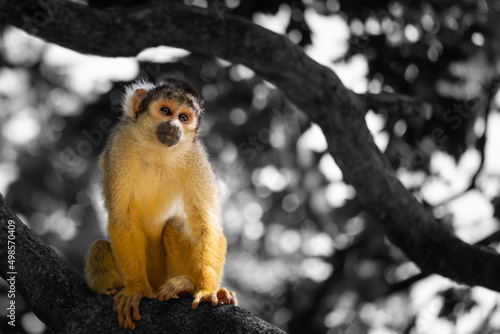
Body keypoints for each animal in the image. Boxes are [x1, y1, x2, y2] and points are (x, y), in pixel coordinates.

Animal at [84, 77, 236, 328]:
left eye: (183, 117)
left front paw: (206, 291)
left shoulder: (195, 156)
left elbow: (207, 224)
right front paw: (136, 289)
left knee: (176, 224)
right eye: (166, 111)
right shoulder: (118, 146)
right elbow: (122, 219)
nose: (174, 126)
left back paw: (184, 286)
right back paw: (114, 288)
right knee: (99, 247)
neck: (157, 152)